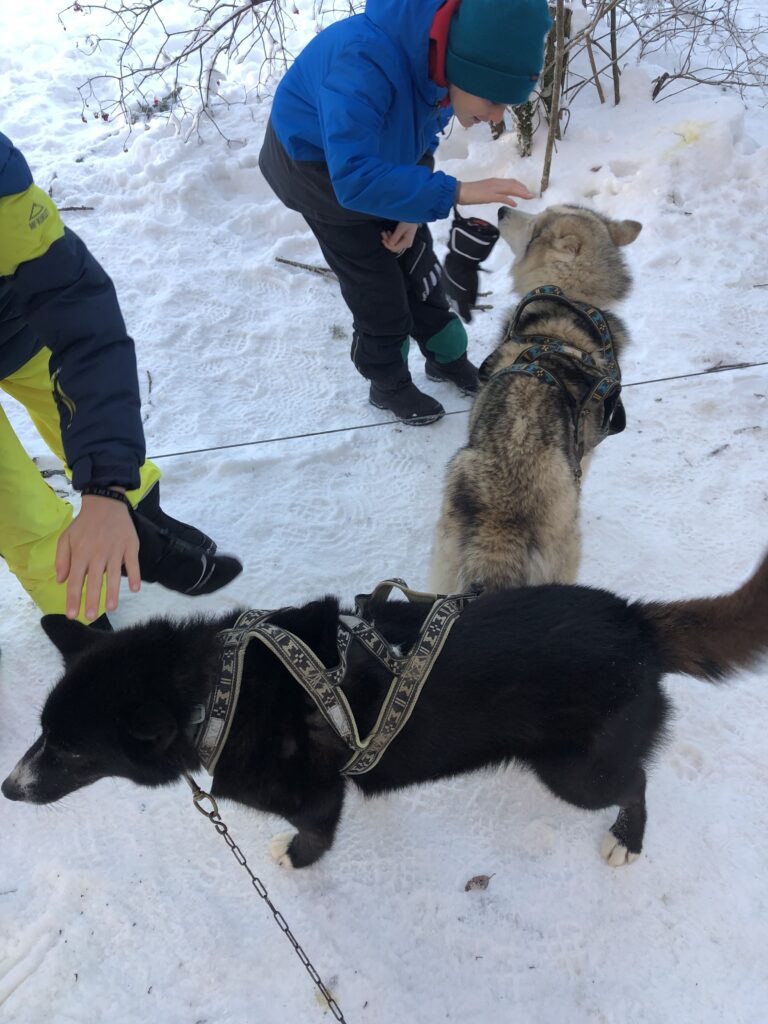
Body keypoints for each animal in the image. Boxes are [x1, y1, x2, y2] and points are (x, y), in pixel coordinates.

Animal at [3, 551, 767, 870]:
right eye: (41, 734)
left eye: (71, 752)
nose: (9, 789)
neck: (219, 689)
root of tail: (634, 622)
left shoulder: (315, 800)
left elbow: (315, 833)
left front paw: (298, 858)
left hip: (577, 774)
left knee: (635, 782)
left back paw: (628, 838)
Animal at [428, 204, 642, 594]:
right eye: (540, 216)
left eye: (534, 226)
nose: (500, 209)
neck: (572, 301)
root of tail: (502, 519)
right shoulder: (584, 454)